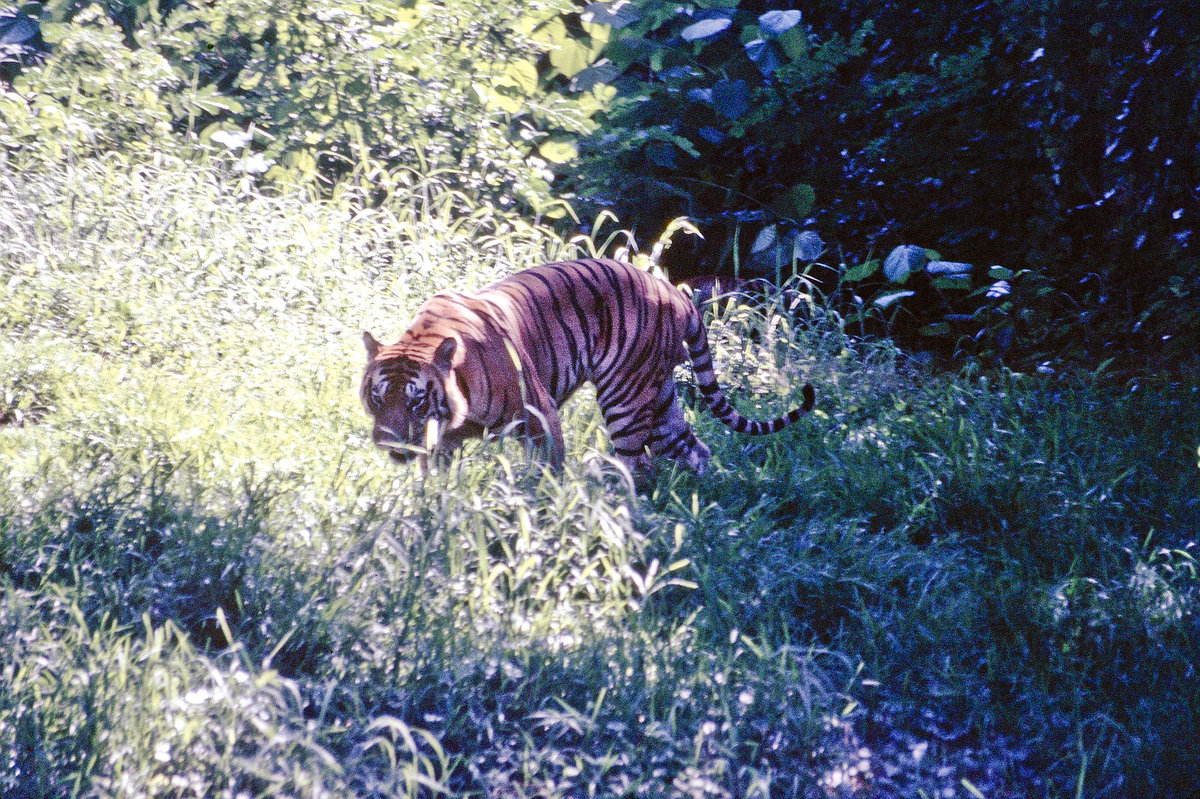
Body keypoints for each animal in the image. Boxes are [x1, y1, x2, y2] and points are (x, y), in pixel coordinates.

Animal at [360, 256, 816, 472]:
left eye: (416, 401)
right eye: (378, 399)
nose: (387, 442)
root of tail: (676, 292)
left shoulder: (539, 416)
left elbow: (546, 473)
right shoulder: (443, 442)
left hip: (626, 398)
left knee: (637, 464)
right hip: (661, 398)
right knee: (692, 447)